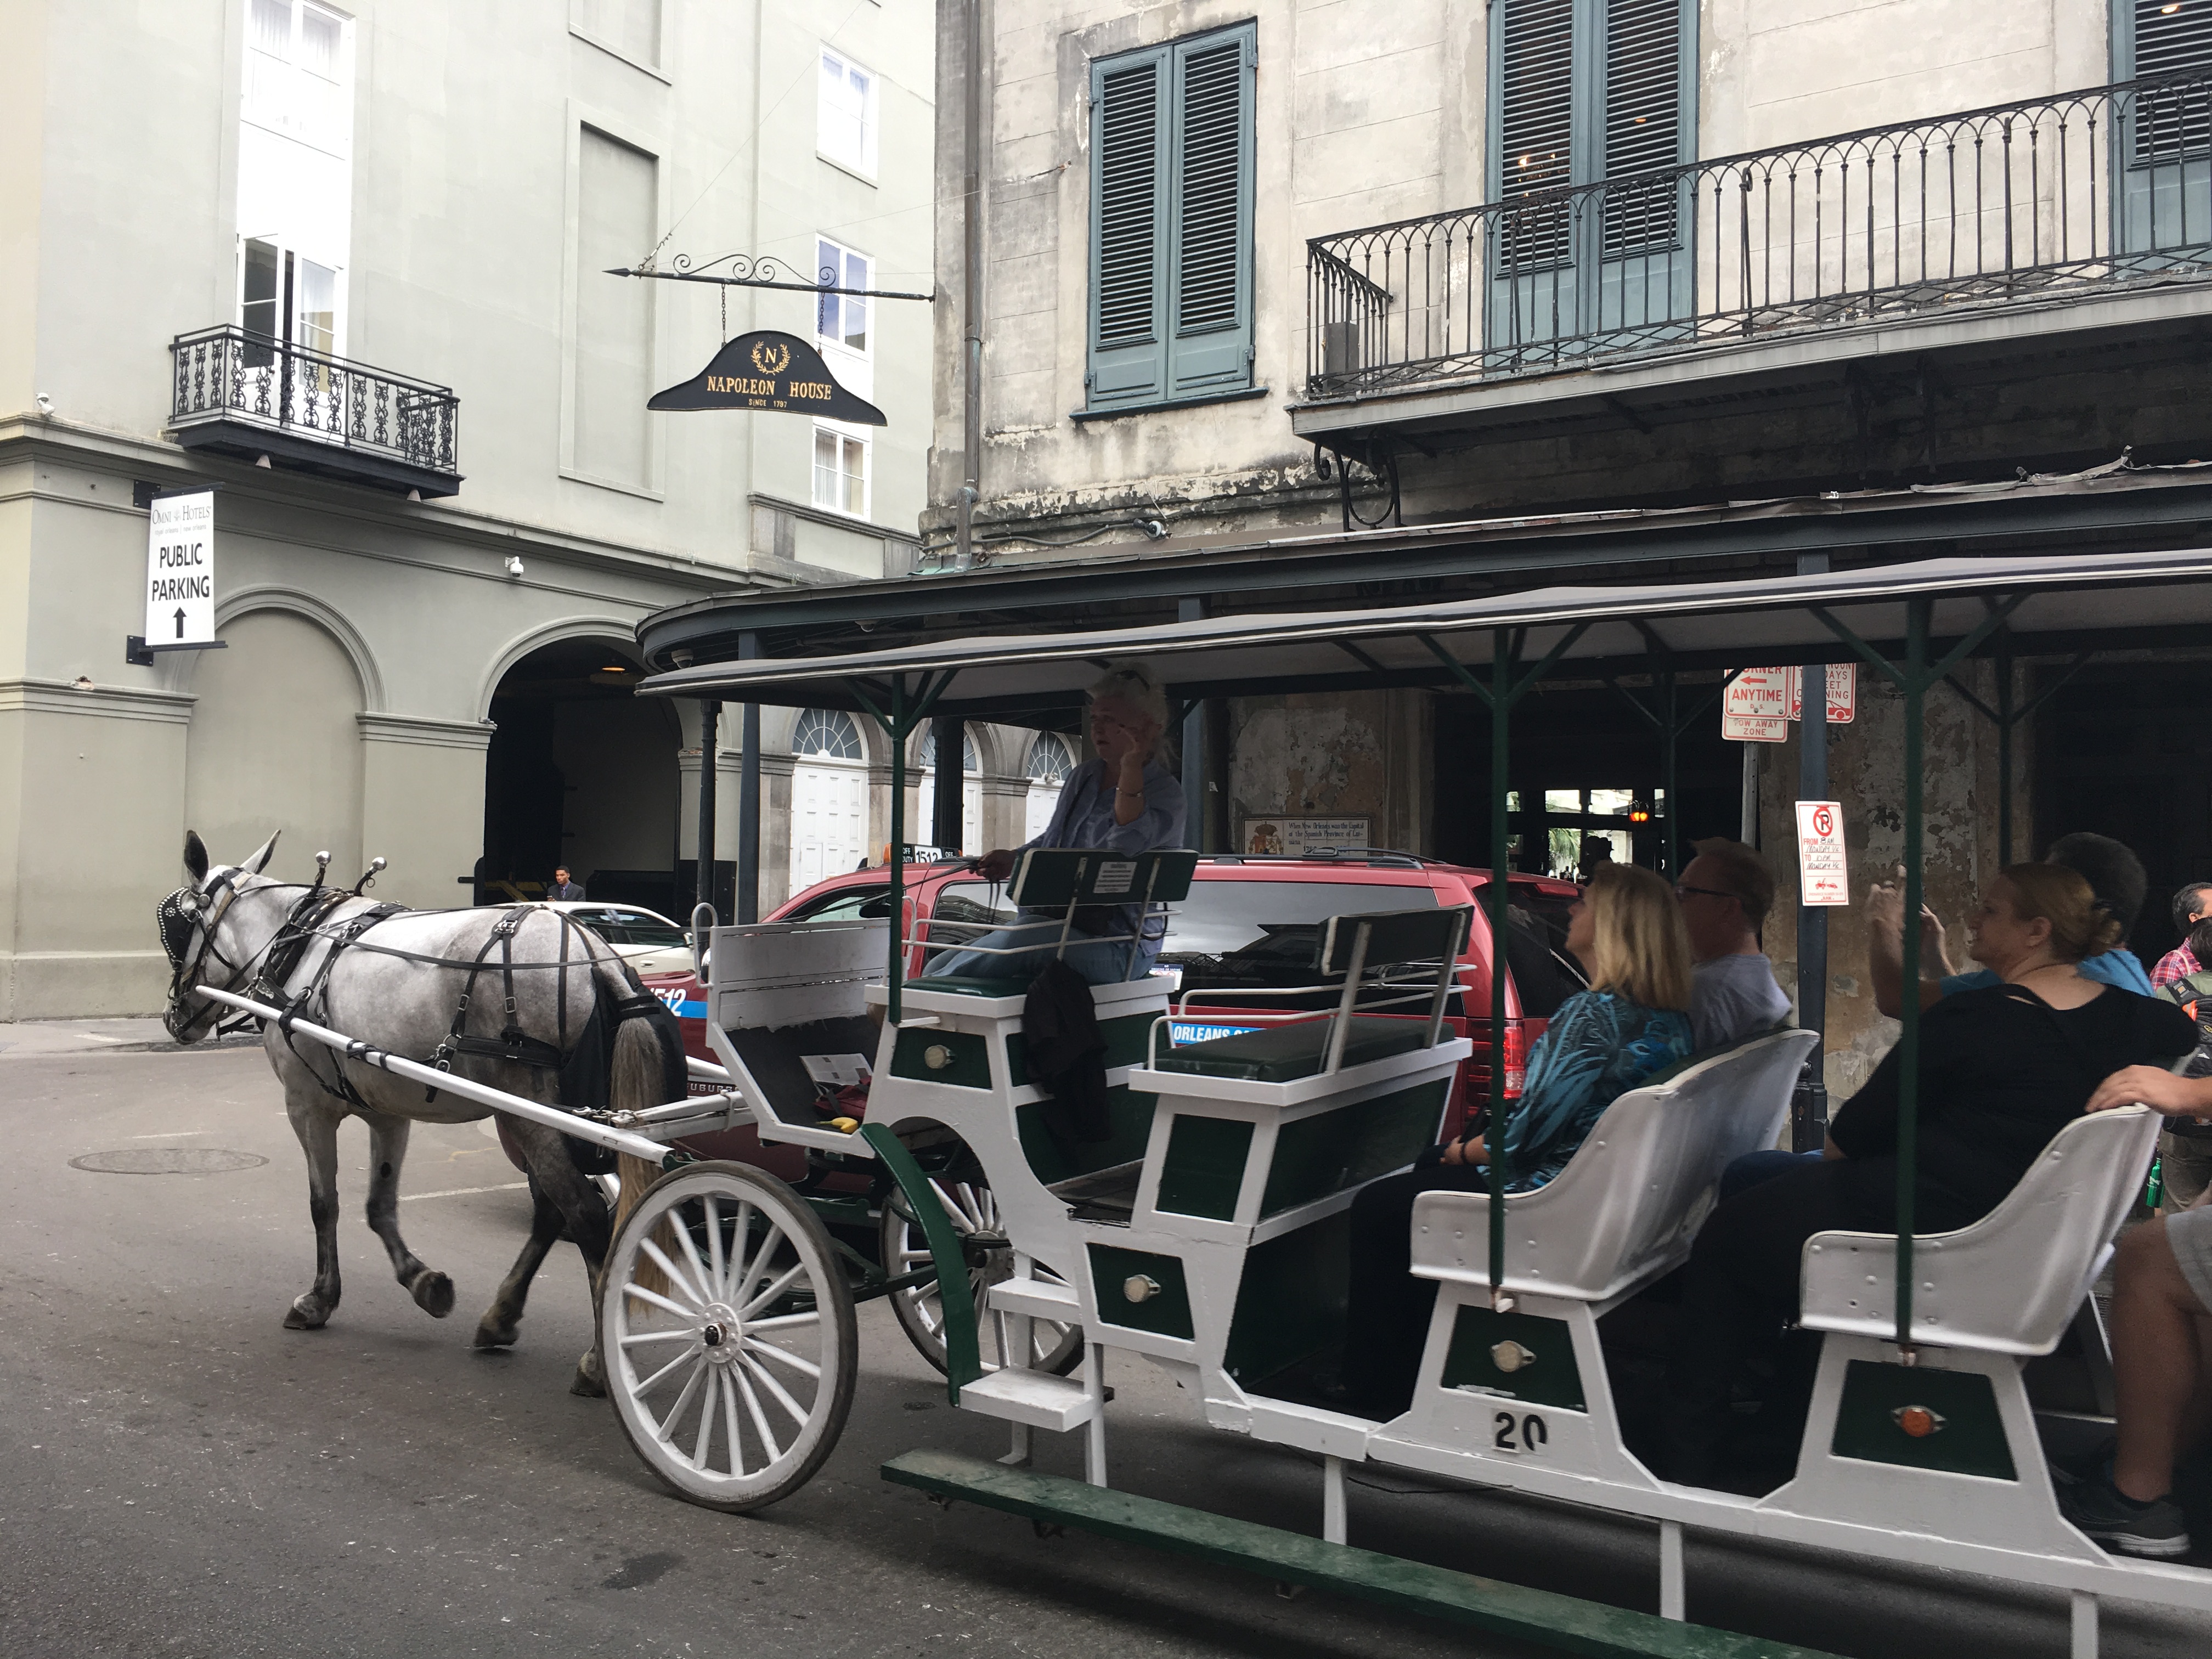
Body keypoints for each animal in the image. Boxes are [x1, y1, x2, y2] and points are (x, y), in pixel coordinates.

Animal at [158, 829, 681, 1395]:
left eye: (178, 925)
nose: (173, 1014)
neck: (300, 946)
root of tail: (596, 955)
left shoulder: (306, 1106)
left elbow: (324, 1205)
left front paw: (319, 1298)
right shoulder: (388, 1111)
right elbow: (379, 1207)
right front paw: (423, 1282)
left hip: (534, 1114)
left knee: (584, 1214)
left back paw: (596, 1362)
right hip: (532, 1117)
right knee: (550, 1213)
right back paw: (500, 1317)